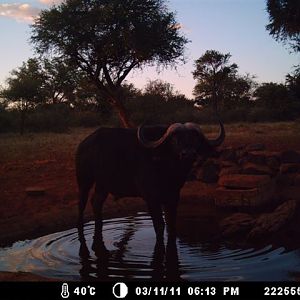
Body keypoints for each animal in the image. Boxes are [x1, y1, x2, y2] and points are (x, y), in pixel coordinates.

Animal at [76, 120, 224, 243]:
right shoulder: (151, 199)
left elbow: (171, 225)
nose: (188, 153)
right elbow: (159, 226)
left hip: (103, 184)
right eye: (175, 138)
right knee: (82, 203)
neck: (168, 170)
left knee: (96, 202)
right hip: (84, 180)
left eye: (195, 138)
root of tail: (84, 144)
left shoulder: (173, 197)